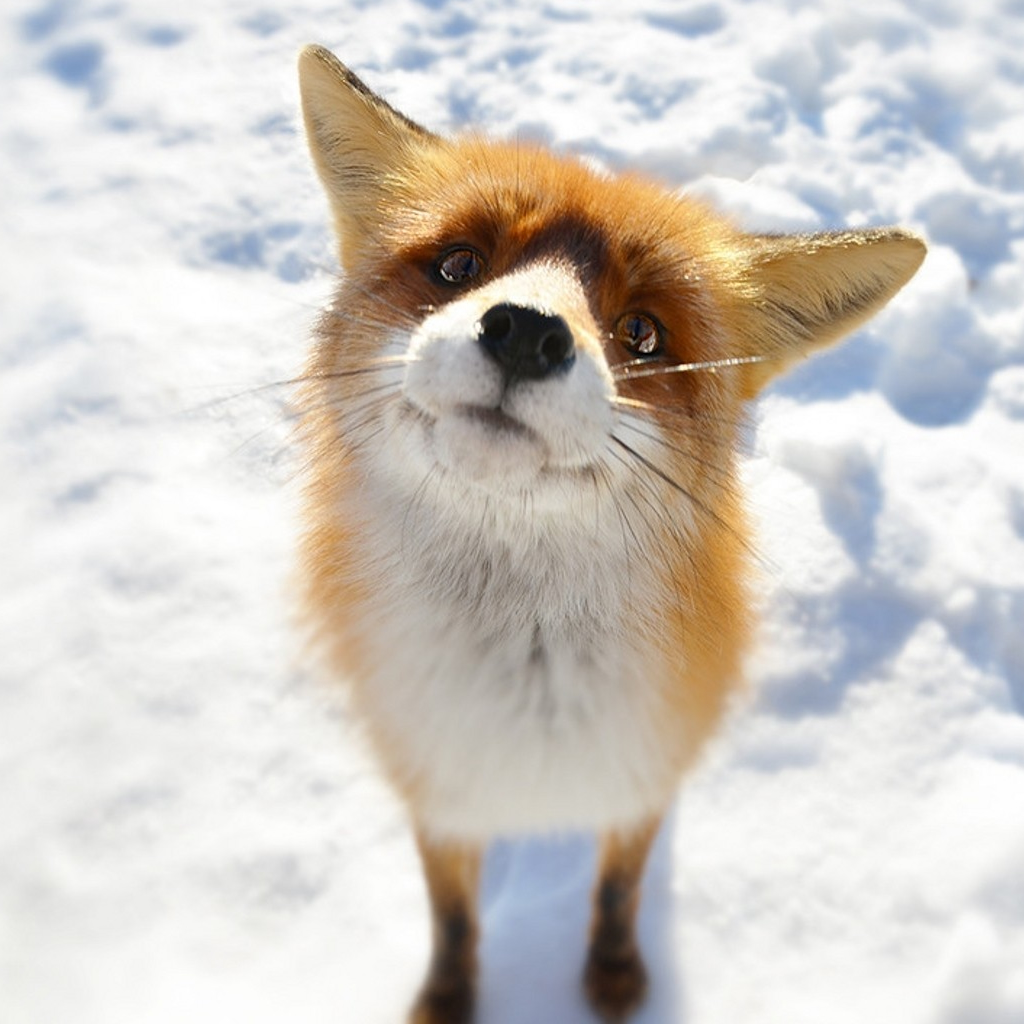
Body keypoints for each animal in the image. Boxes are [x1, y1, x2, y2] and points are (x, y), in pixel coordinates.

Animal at [295, 44, 925, 1024]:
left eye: (643, 331)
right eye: (458, 265)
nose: (524, 333)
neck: (527, 695)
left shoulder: (643, 774)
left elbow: (620, 888)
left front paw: (616, 977)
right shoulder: (434, 787)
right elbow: (453, 916)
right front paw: (448, 998)